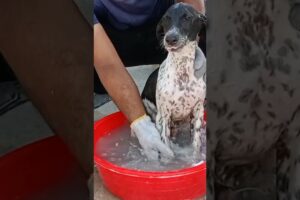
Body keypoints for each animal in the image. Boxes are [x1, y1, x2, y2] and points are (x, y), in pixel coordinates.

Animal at [142, 3, 207, 161]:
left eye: (187, 17)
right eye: (166, 18)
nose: (170, 38)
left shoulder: (198, 111)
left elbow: (195, 144)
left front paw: (195, 159)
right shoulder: (163, 116)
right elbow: (165, 145)